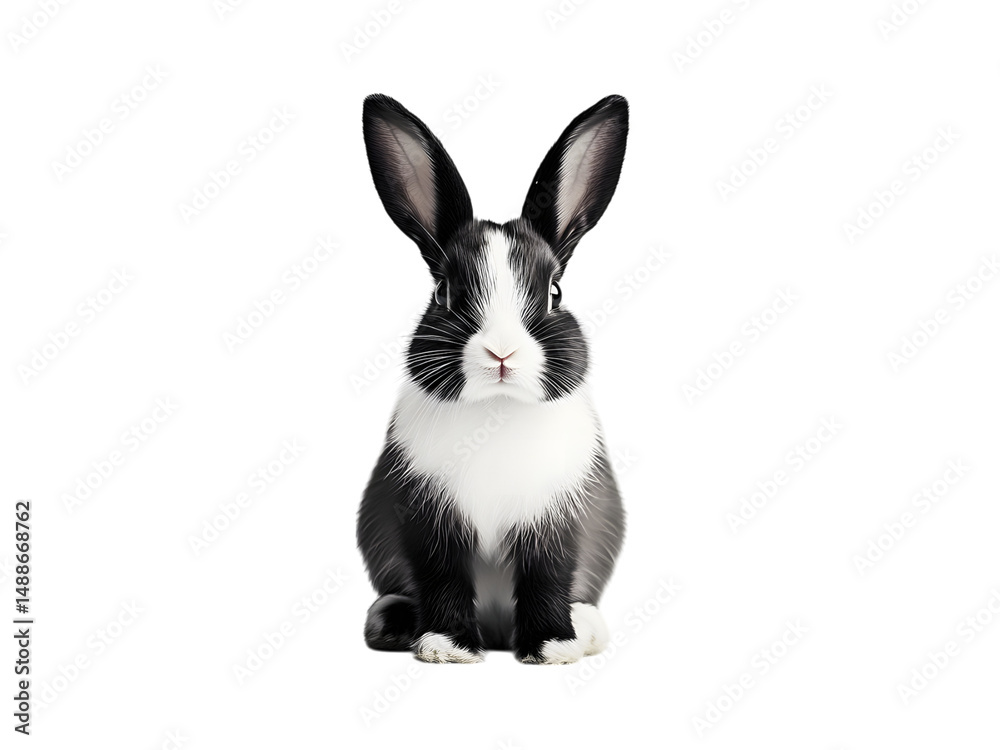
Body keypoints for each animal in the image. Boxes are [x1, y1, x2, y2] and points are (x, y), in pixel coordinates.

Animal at [357, 93, 628, 664]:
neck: (495, 413)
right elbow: (442, 577)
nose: (501, 353)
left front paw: (553, 646)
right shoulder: (426, 522)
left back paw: (586, 628)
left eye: (555, 293)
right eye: (443, 293)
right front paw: (449, 648)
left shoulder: (557, 522)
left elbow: (548, 577)